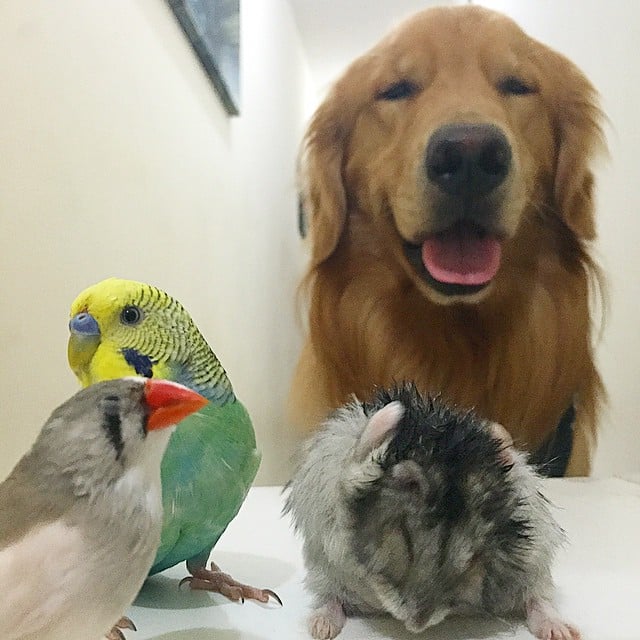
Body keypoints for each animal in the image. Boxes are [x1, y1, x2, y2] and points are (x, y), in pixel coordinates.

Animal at [284, 383, 579, 640]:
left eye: (473, 560)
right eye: (403, 539)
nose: (417, 625)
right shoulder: (345, 478)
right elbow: (359, 462)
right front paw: (394, 412)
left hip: (534, 567)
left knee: (537, 599)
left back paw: (563, 633)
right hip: (324, 573)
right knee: (332, 599)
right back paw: (322, 628)